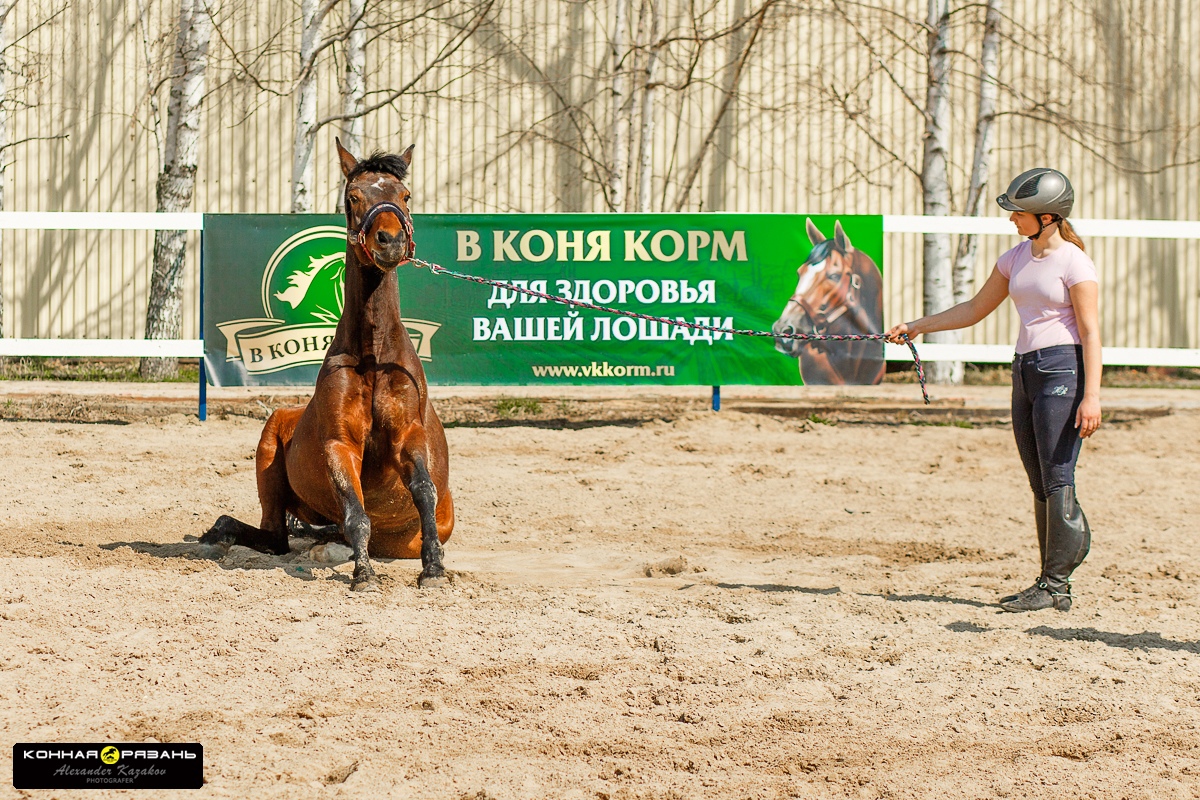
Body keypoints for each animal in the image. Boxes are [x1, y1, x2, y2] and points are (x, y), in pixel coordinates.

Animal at [201, 137, 453, 592]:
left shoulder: (409, 436)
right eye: (353, 197)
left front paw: (433, 569)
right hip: (269, 451)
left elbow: (424, 492)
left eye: (405, 195)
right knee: (276, 536)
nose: (390, 241)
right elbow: (356, 514)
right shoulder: (340, 444)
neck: (373, 357)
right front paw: (364, 575)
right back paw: (224, 533)